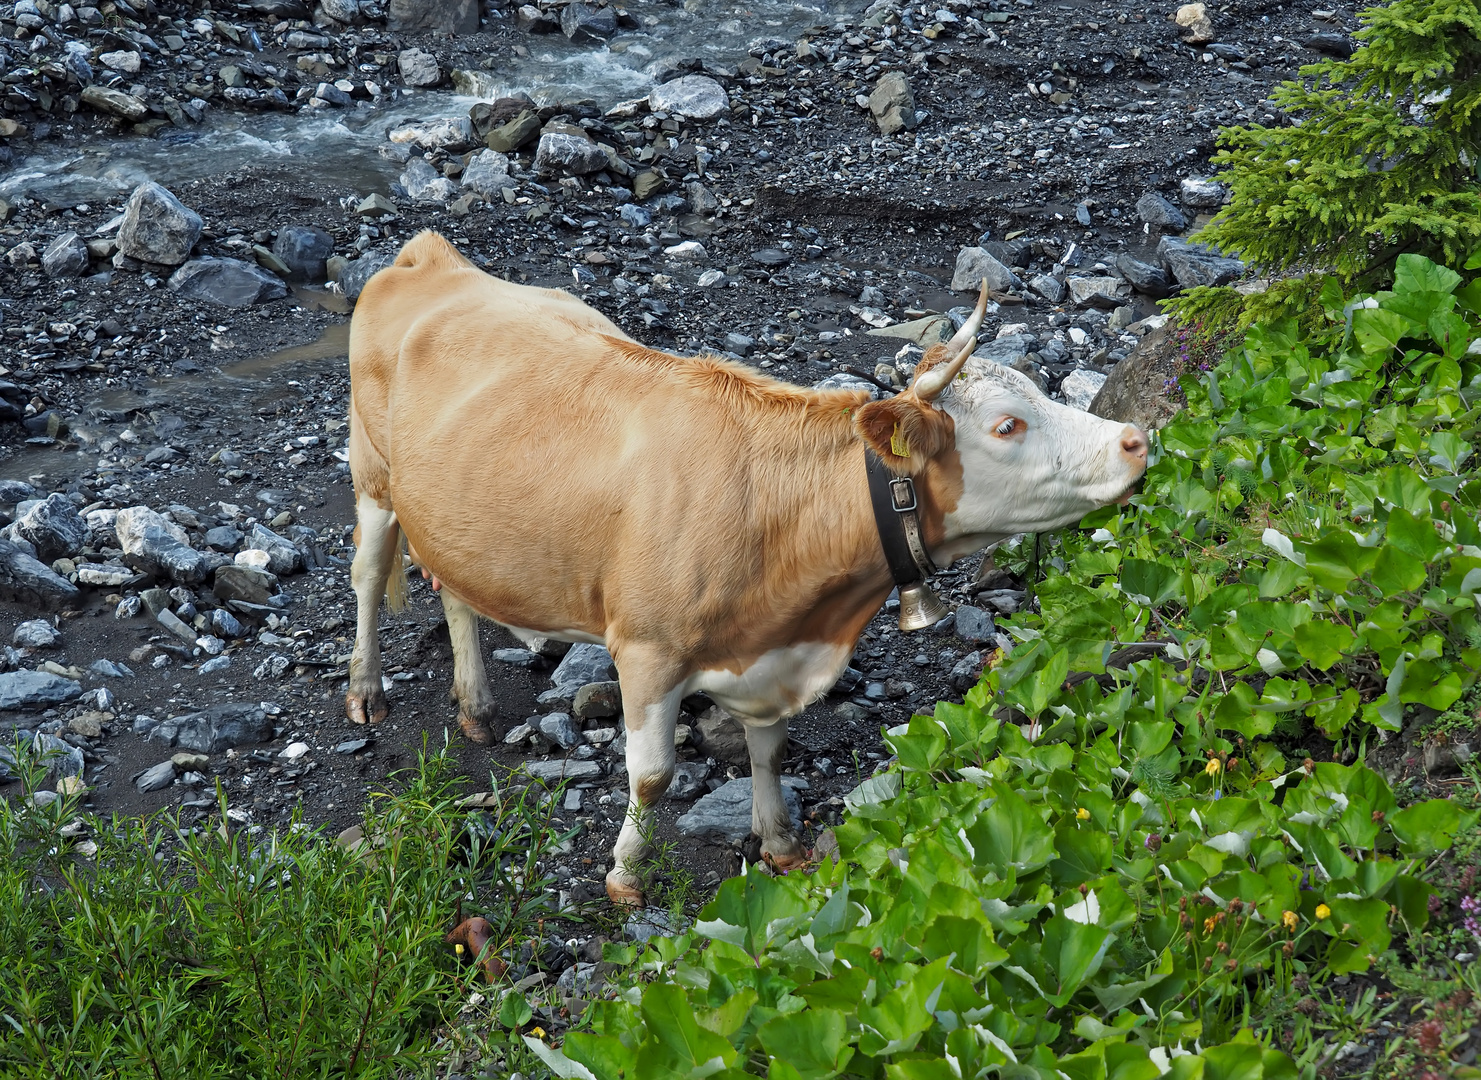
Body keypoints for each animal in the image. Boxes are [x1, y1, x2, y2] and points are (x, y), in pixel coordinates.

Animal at [343, 234, 1143, 900]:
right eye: (1008, 426)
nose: (1135, 440)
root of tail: (434, 256)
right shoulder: (647, 647)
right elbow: (652, 776)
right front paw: (626, 873)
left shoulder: (770, 650)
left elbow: (770, 748)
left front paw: (780, 841)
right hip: (373, 476)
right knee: (368, 575)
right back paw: (365, 692)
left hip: (449, 517)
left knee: (454, 592)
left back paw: (475, 705)